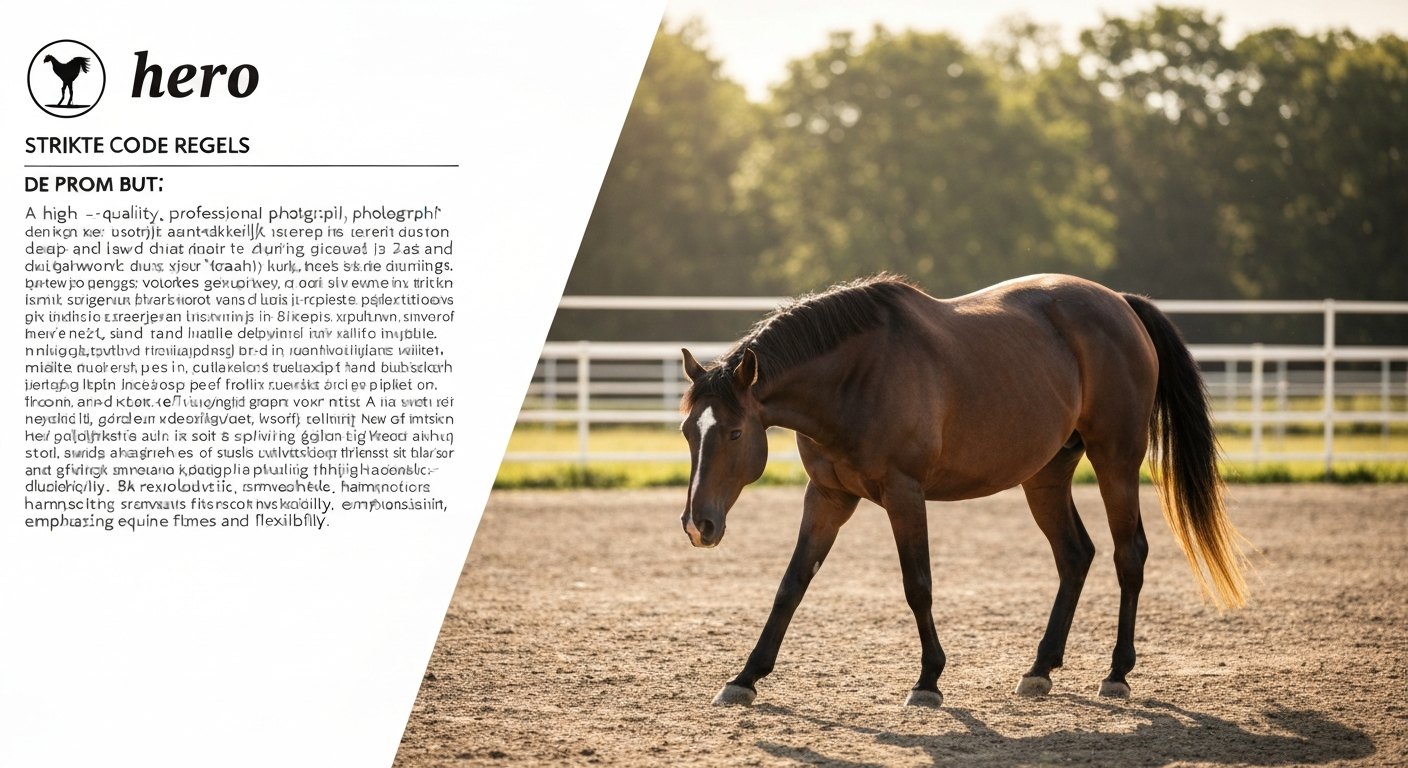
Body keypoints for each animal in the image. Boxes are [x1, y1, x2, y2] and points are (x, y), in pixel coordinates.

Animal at [678, 274, 1248, 708]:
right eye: (687, 431)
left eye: (734, 433)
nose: (698, 525)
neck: (855, 376)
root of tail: (1121, 305)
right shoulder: (827, 496)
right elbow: (791, 585)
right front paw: (745, 677)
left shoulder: (904, 494)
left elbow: (918, 585)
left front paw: (928, 680)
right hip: (1046, 476)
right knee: (1075, 555)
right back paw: (1040, 669)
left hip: (1116, 461)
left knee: (1128, 554)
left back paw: (1117, 673)